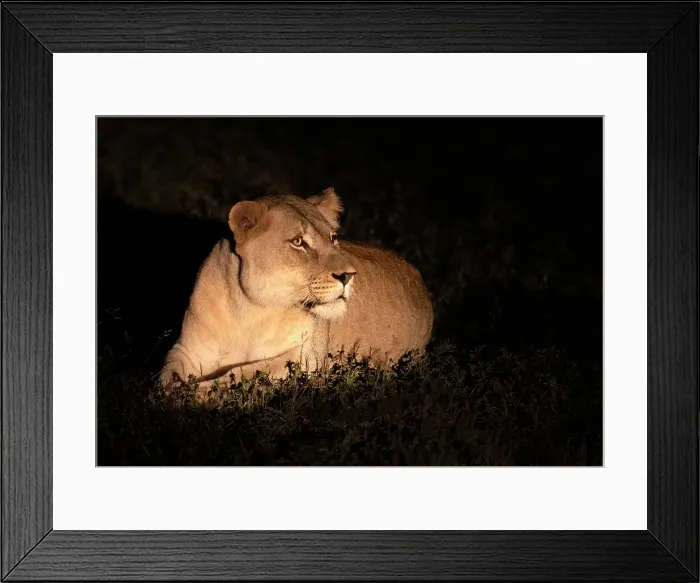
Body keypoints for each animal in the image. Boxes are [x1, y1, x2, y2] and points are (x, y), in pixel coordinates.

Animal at [159, 187, 433, 398]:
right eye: (299, 242)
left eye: (333, 238)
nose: (348, 276)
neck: (250, 312)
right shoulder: (188, 349)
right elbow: (166, 374)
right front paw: (169, 395)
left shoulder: (306, 359)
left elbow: (244, 373)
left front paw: (195, 394)